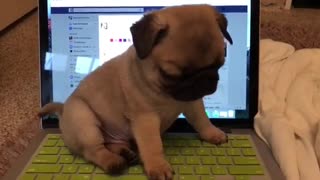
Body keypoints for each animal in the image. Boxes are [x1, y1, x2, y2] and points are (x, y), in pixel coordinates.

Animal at [38, 3, 232, 180]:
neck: (166, 94)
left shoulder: (192, 102)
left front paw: (212, 133)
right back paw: (113, 161)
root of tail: (63, 109)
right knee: (94, 150)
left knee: (111, 143)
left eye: (219, 64)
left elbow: (202, 120)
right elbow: (153, 145)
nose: (204, 80)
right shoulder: (145, 119)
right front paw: (158, 166)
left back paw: (126, 153)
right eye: (169, 75)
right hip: (83, 119)